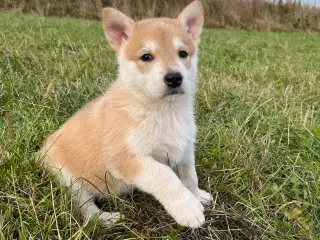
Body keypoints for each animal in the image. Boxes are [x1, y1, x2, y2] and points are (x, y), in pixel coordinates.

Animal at [41, 0, 214, 229]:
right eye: (146, 57)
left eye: (183, 53)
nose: (174, 78)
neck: (163, 111)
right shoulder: (128, 159)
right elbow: (165, 176)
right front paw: (187, 207)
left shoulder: (185, 147)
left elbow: (189, 176)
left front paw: (198, 195)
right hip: (70, 181)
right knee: (85, 209)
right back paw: (107, 218)